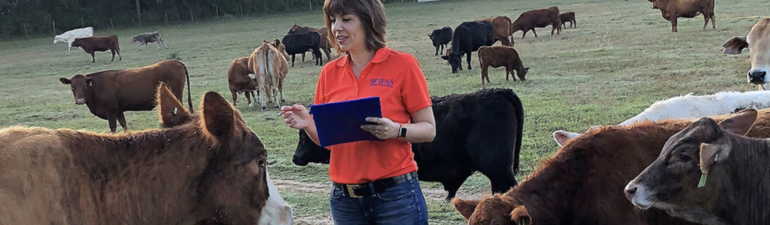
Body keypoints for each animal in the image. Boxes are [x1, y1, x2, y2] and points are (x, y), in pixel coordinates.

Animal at [59, 59, 192, 133]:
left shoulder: (111, 111)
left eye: (85, 87)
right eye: (72, 87)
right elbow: (124, 125)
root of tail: (175, 61)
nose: (80, 100)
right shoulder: (119, 111)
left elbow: (113, 127)